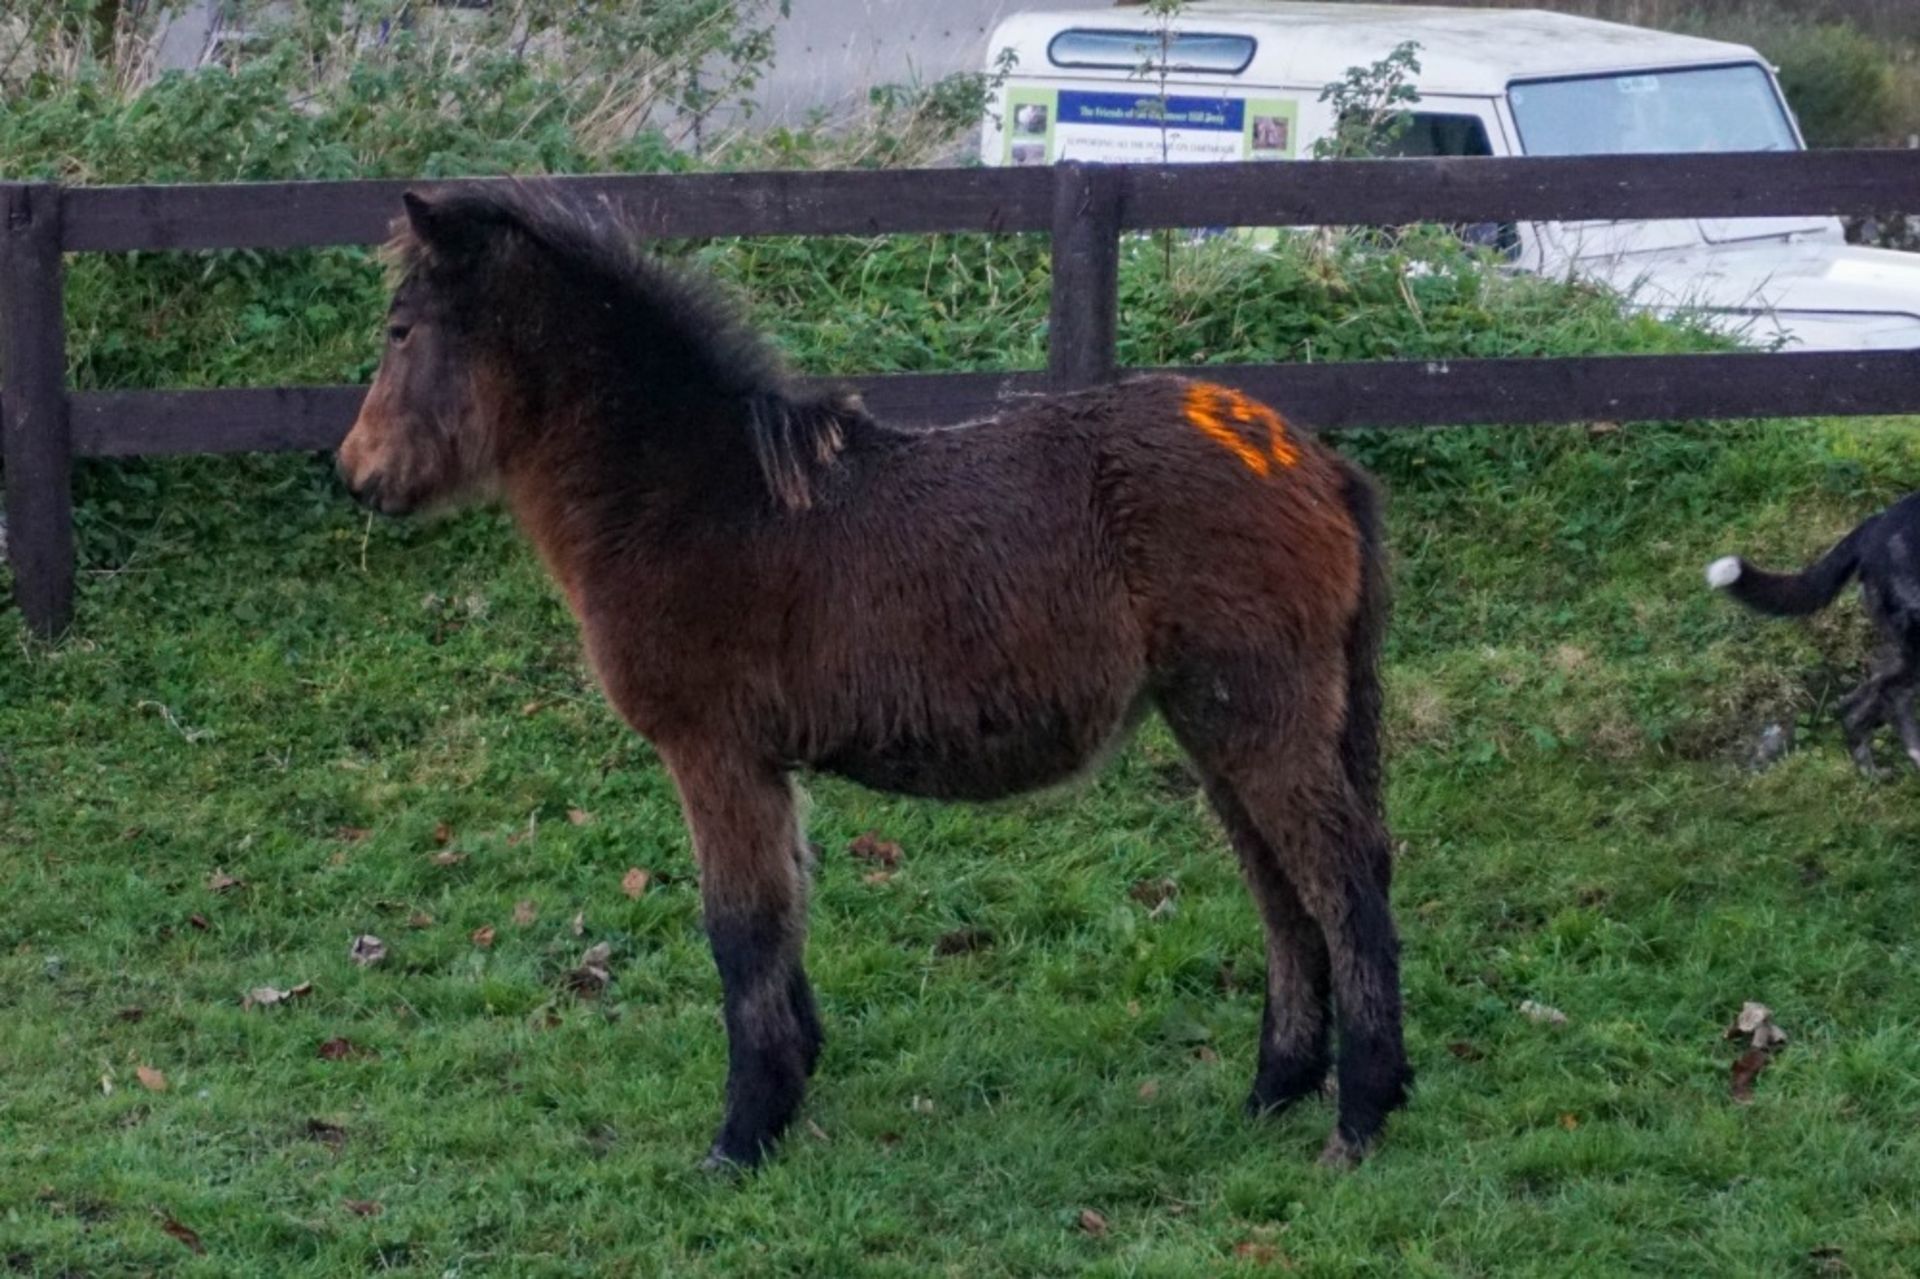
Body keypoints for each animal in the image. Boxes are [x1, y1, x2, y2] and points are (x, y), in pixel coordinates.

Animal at [334, 187, 1413, 1167]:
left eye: (399, 329)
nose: (356, 474)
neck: (692, 496)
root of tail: (1311, 460)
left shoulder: (713, 751)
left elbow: (740, 926)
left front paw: (742, 1134)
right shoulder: (764, 765)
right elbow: (786, 910)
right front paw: (793, 1079)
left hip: (1257, 714)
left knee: (1344, 876)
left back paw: (1362, 1113)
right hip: (1219, 722)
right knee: (1281, 887)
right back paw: (1277, 1088)